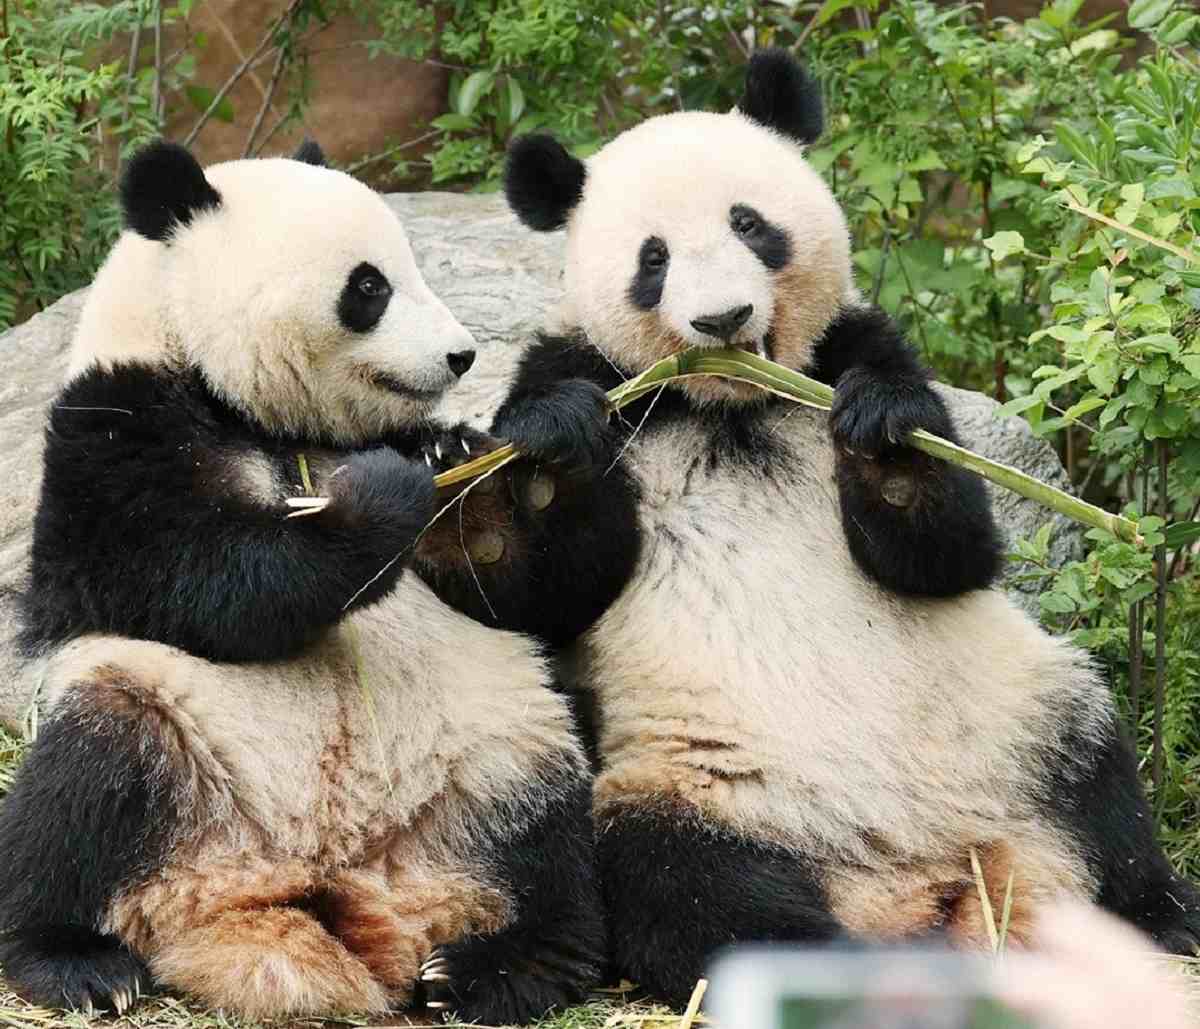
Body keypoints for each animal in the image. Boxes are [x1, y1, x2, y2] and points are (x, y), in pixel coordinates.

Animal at [0, 141, 603, 1024]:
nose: (462, 354)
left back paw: (494, 966)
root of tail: (323, 883)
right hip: (171, 731)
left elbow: (519, 586)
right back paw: (75, 962)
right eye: (369, 287)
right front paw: (382, 495)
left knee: (554, 835)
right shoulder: (109, 436)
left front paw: (543, 433)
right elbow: (212, 580)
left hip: (498, 745)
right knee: (78, 787)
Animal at [412, 49, 1200, 1006]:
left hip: (1023, 722)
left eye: (750, 224)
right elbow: (559, 584)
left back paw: (1164, 918)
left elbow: (947, 551)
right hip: (699, 788)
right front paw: (491, 496)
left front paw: (886, 436)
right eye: (652, 258)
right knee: (695, 894)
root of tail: (915, 872)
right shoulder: (584, 375)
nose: (721, 320)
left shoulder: (859, 345)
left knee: (1103, 792)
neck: (733, 404)